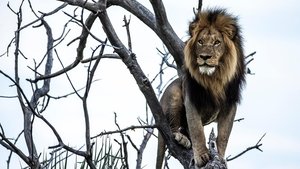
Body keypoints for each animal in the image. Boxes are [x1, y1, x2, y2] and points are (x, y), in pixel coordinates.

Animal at [156, 8, 245, 168]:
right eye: (200, 41)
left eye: (217, 42)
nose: (204, 57)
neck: (214, 79)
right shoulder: (191, 98)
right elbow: (196, 129)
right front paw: (201, 156)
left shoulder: (230, 104)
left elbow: (224, 136)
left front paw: (220, 157)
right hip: (174, 93)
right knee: (173, 127)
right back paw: (181, 138)